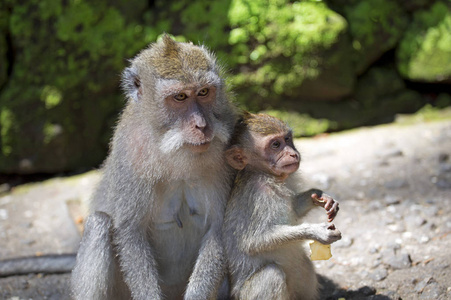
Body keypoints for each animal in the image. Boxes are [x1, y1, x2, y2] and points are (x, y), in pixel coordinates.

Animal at [224, 113, 340, 300]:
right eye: (276, 145)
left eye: (287, 139)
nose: (293, 154)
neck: (266, 175)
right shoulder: (258, 197)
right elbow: (253, 241)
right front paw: (315, 231)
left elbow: (295, 208)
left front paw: (319, 196)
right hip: (246, 295)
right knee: (271, 275)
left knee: (304, 265)